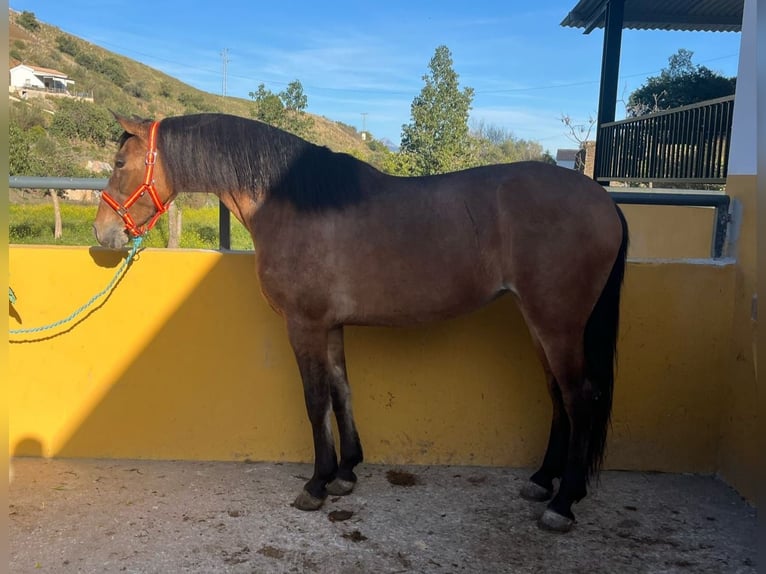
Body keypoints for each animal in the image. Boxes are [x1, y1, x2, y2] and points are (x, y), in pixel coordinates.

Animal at [93, 113, 632, 536]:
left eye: (119, 165)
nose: (103, 232)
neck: (289, 202)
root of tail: (604, 202)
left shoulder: (304, 326)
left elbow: (315, 400)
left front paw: (316, 484)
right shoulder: (330, 327)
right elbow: (341, 391)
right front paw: (346, 472)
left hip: (557, 323)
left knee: (580, 397)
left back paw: (563, 504)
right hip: (540, 323)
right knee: (557, 394)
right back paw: (543, 482)